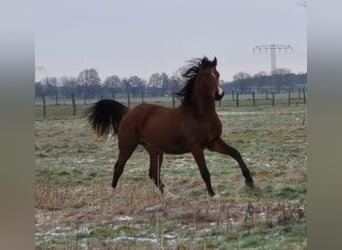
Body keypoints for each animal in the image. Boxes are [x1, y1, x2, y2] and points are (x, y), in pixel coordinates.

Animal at [86, 57, 254, 197]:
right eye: (207, 76)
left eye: (217, 74)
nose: (219, 94)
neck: (200, 115)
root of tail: (128, 112)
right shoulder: (196, 147)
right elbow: (204, 171)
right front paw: (213, 195)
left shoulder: (213, 143)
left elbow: (236, 153)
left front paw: (250, 181)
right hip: (127, 145)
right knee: (118, 167)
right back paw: (112, 195)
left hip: (154, 150)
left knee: (153, 173)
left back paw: (170, 195)